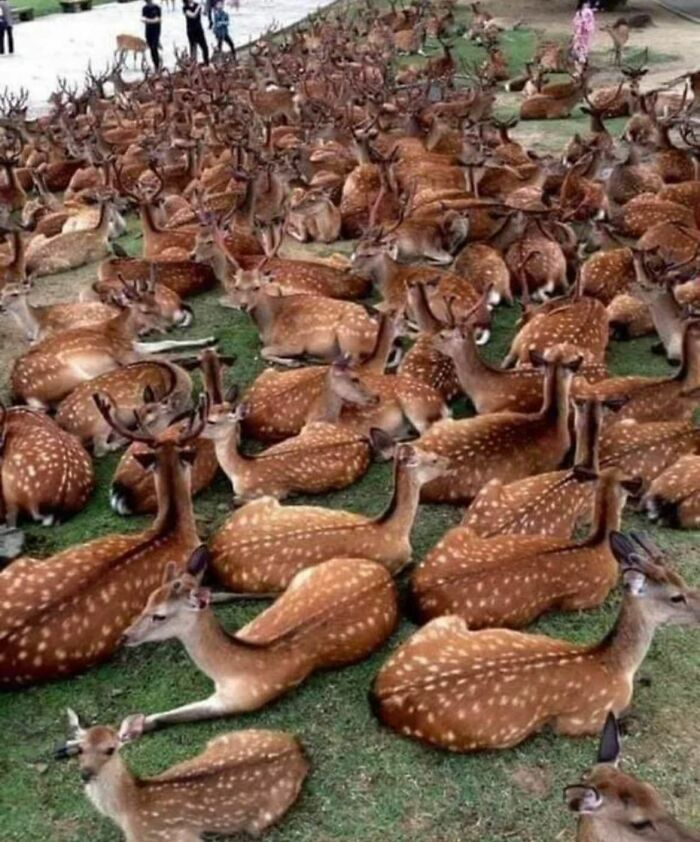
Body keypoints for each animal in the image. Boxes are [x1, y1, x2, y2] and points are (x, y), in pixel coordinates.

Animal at [55, 710, 308, 840]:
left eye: (110, 749)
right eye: (80, 749)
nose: (86, 773)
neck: (129, 809)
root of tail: (296, 748)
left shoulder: (175, 835)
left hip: (262, 818)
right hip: (223, 738)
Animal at [120, 549, 398, 727]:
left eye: (160, 616)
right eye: (148, 600)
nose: (125, 636)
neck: (228, 673)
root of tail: (384, 574)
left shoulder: (247, 700)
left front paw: (132, 726)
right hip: (306, 573)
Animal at [208, 444, 449, 593]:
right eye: (433, 459)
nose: (448, 461)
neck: (393, 530)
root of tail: (215, 549)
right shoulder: (396, 563)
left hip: (262, 502)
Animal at [370, 531, 700, 752]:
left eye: (682, 581)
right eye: (676, 597)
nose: (699, 608)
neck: (615, 666)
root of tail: (379, 694)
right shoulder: (586, 719)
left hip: (444, 624)